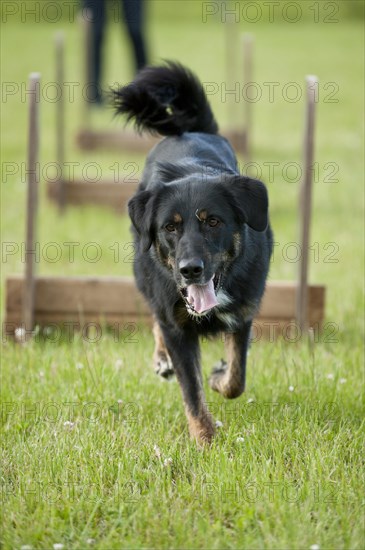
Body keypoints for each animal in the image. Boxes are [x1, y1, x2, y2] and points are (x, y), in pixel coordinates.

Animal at [112, 63, 272, 444]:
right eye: (170, 227)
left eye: (213, 221)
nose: (190, 270)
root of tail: (190, 130)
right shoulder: (177, 326)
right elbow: (191, 391)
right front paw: (205, 440)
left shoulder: (243, 313)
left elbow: (236, 377)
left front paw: (219, 375)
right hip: (146, 277)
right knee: (156, 318)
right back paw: (162, 359)